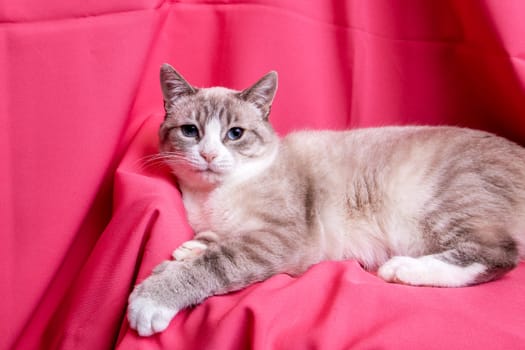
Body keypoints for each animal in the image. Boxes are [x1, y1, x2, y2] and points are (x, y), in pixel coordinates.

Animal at [127, 63, 524, 336]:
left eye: (235, 134)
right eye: (190, 131)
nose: (208, 155)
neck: (210, 197)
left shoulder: (276, 239)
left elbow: (212, 264)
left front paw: (152, 297)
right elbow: (207, 243)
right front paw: (191, 247)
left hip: (446, 201)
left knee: (498, 253)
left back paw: (401, 269)